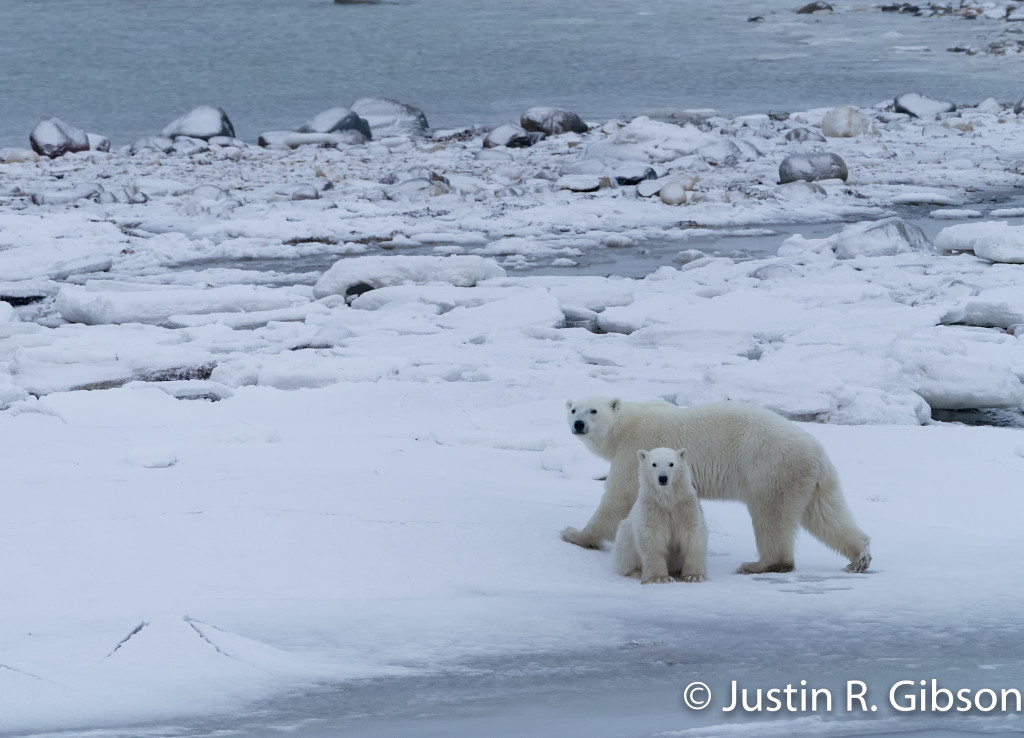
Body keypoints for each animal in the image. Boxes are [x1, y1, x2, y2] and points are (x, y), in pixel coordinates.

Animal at [615, 447, 708, 584]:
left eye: (671, 464)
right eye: (654, 464)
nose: (663, 478)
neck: (667, 499)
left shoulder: (686, 507)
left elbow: (692, 535)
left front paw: (693, 576)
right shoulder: (652, 508)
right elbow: (652, 538)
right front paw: (660, 578)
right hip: (625, 537)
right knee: (626, 554)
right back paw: (637, 571)